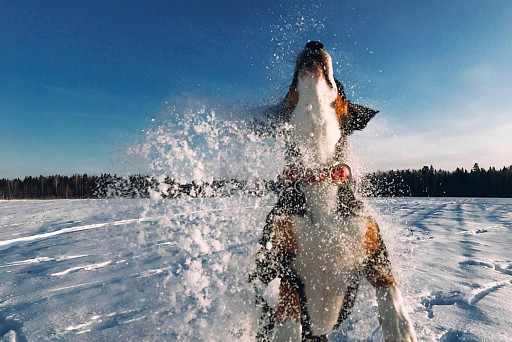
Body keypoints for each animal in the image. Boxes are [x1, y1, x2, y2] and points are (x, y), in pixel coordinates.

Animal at [251, 42, 416, 342]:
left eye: (339, 85)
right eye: (291, 83)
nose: (313, 44)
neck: (318, 174)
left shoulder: (373, 243)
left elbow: (388, 283)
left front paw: (400, 328)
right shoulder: (274, 261)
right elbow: (288, 297)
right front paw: (287, 331)